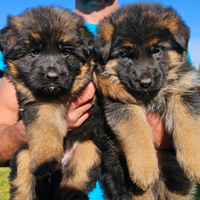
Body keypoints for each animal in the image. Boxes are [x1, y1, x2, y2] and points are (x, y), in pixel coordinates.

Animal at [0, 6, 107, 200]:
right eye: (34, 52)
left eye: (66, 52)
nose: (52, 77)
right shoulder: (38, 102)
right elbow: (45, 126)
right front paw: (46, 160)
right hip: (23, 154)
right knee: (22, 186)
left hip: (87, 149)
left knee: (74, 177)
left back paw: (73, 194)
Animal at [94, 2, 199, 199]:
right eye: (126, 55)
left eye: (157, 50)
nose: (145, 83)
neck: (150, 95)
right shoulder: (120, 101)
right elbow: (136, 130)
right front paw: (144, 169)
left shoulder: (182, 90)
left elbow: (189, 122)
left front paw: (195, 161)